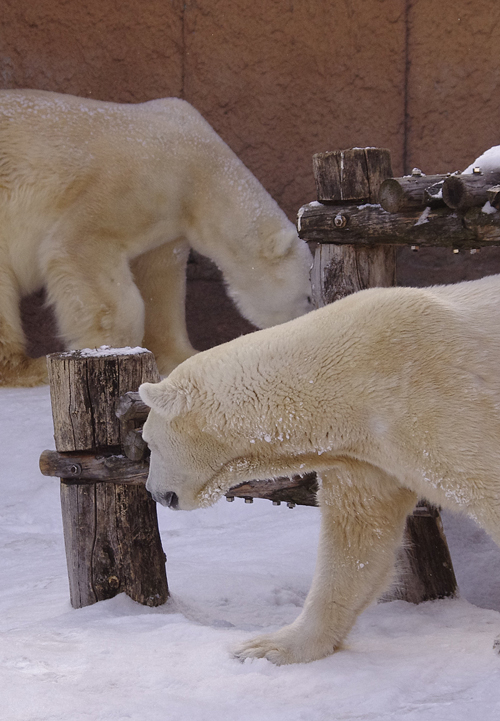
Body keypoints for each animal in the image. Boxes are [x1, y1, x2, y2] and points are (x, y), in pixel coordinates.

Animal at [0, 88, 312, 388]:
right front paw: (110, 349)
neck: (200, 168)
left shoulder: (170, 223)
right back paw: (30, 368)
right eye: (308, 296)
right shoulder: (134, 183)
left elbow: (160, 283)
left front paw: (183, 356)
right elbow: (81, 246)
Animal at [139, 274, 500, 664]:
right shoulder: (367, 453)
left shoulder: (436, 401)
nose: (156, 493)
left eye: (148, 443)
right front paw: (269, 646)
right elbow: (357, 537)